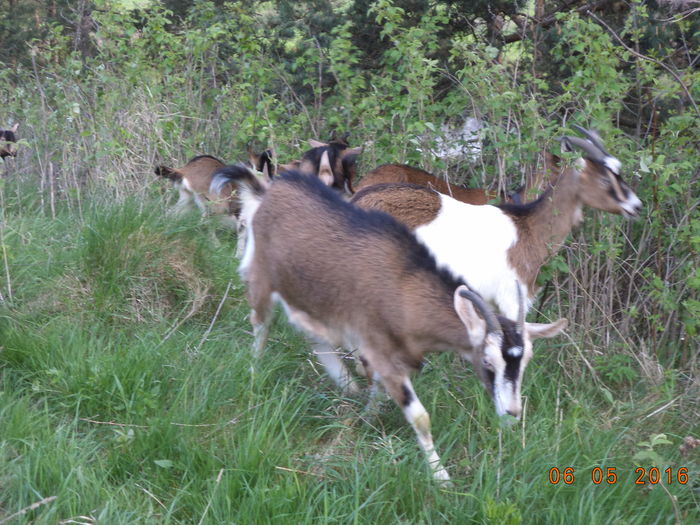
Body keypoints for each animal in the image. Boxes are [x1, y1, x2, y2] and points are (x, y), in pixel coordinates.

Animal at [216, 166, 568, 482]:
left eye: (524, 361)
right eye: (487, 361)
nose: (512, 413)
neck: (404, 285)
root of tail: (268, 191)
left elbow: (378, 389)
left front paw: (366, 416)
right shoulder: (382, 352)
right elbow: (420, 416)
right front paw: (442, 479)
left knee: (311, 335)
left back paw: (344, 381)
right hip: (262, 277)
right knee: (261, 325)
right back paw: (254, 379)